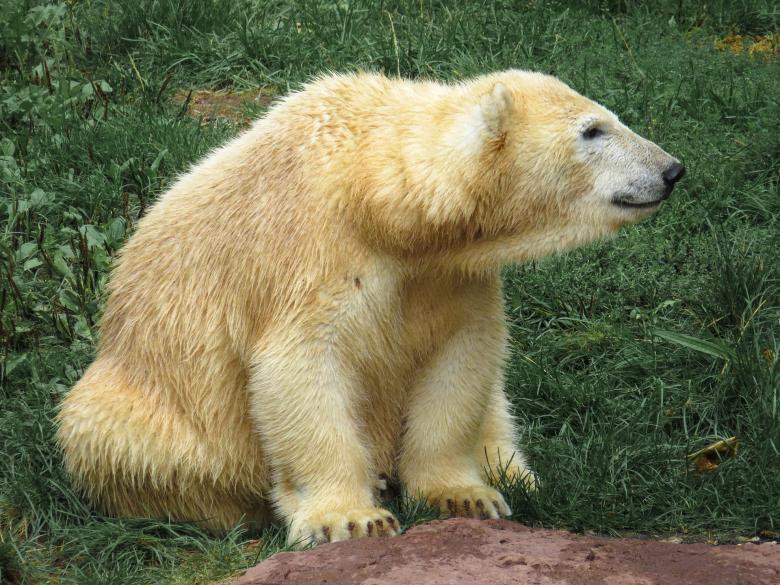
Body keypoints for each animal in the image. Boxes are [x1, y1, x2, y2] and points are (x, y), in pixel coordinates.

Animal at [56, 70, 684, 545]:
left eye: (608, 116)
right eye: (593, 129)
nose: (672, 169)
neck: (375, 197)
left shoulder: (448, 275)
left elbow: (462, 358)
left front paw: (465, 494)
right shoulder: (312, 256)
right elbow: (301, 370)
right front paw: (352, 517)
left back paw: (514, 472)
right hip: (141, 407)